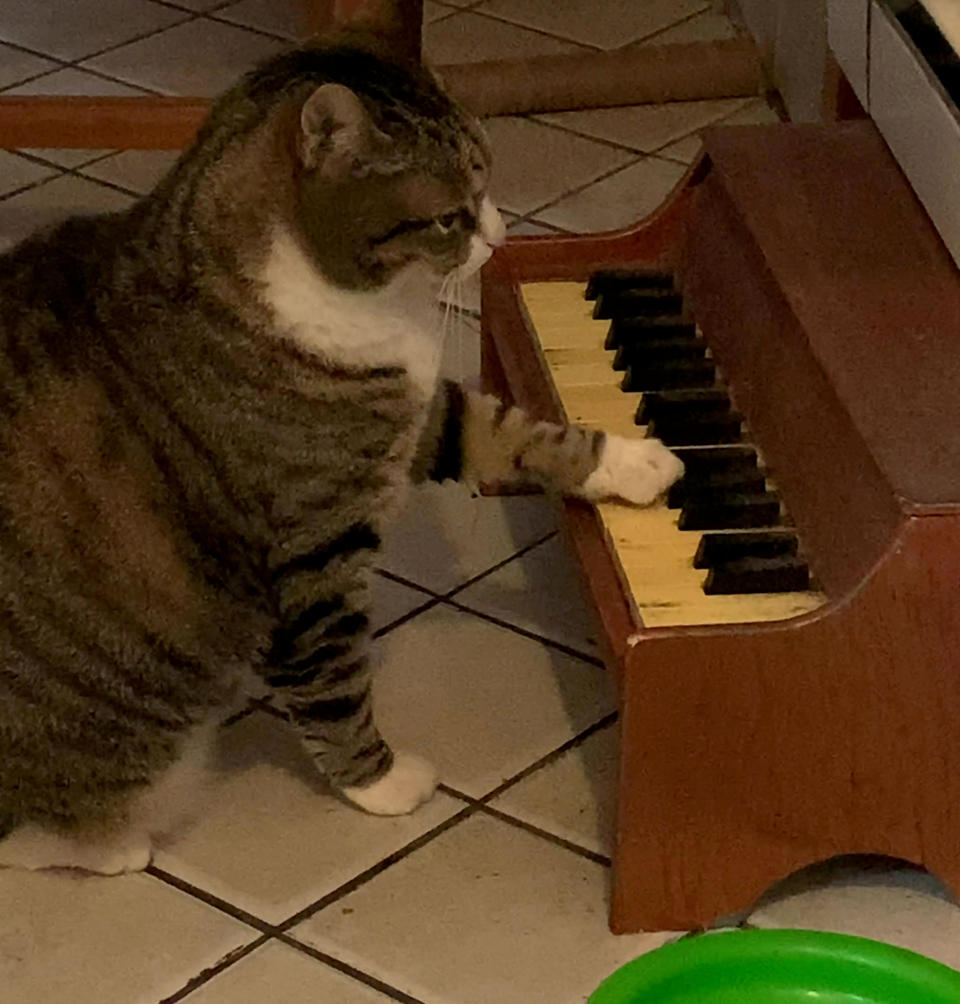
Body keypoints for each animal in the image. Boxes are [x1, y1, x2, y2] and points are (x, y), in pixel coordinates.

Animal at [0, 39, 682, 875]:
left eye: (487, 181)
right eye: (450, 215)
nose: (502, 237)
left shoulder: (413, 411)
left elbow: (505, 428)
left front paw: (634, 464)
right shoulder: (310, 557)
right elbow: (332, 683)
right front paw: (381, 782)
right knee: (30, 832)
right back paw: (112, 844)